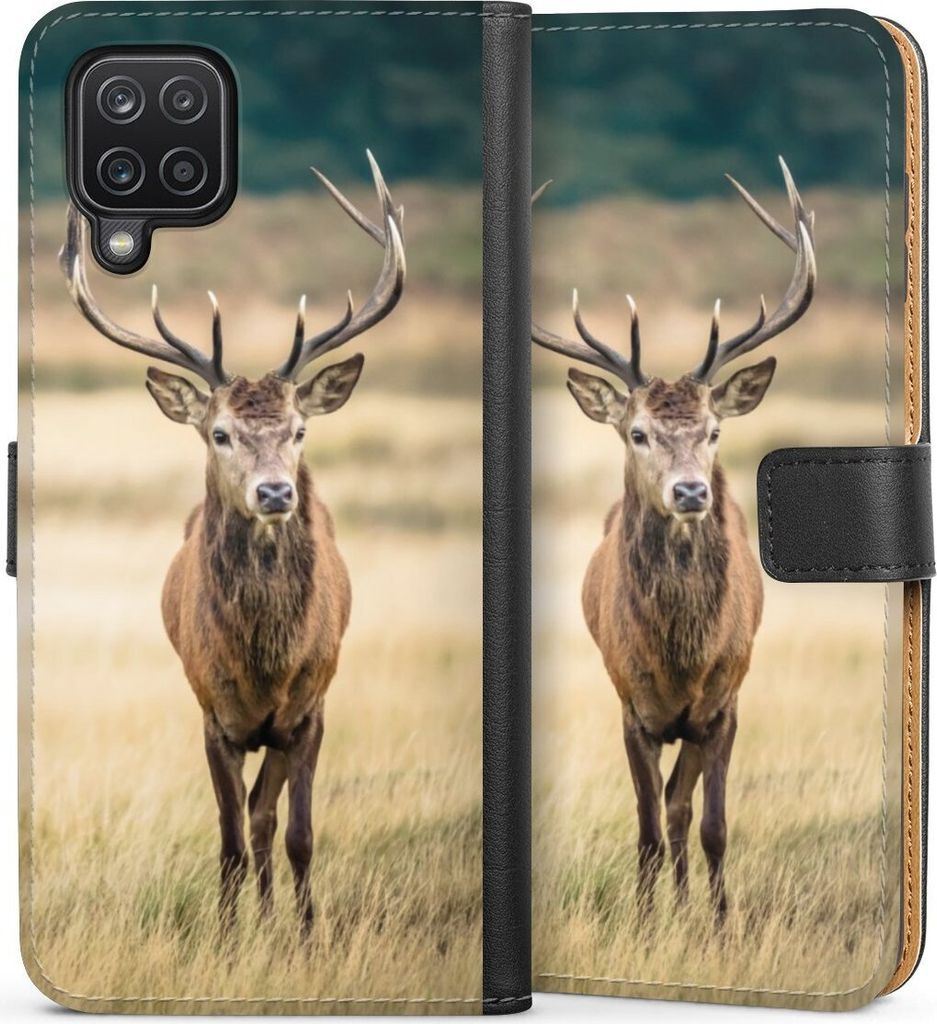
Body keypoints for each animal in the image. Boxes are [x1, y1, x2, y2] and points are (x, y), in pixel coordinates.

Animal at [59, 152, 405, 938]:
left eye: (300, 430)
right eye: (219, 433)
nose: (275, 493)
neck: (263, 664)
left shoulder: (308, 710)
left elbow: (294, 831)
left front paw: (304, 936)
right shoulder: (211, 714)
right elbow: (227, 837)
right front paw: (224, 935)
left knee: (267, 818)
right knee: (246, 822)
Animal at [532, 157, 816, 922]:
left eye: (713, 431)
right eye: (637, 433)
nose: (690, 492)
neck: (680, 658)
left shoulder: (723, 705)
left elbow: (710, 824)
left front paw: (718, 923)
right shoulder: (631, 707)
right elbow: (647, 827)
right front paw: (642, 917)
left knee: (684, 809)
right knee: (664, 811)